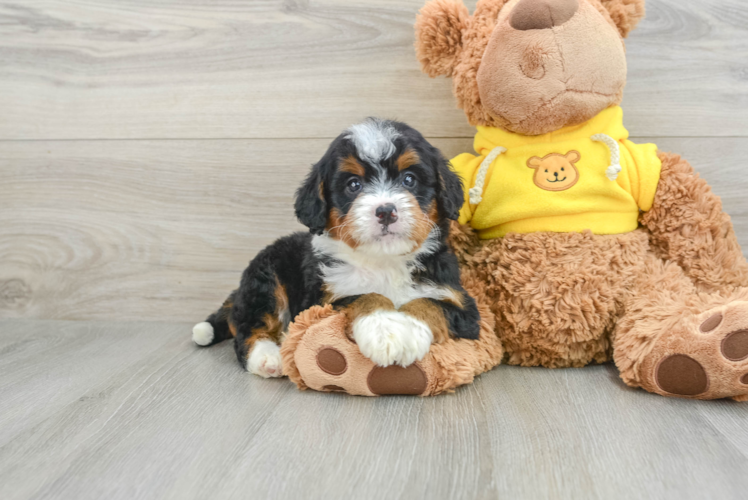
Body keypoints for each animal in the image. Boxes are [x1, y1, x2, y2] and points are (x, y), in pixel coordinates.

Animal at [193, 119, 482, 376]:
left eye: (409, 180)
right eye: (353, 185)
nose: (386, 211)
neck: (384, 261)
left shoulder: (463, 308)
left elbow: (429, 304)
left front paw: (404, 331)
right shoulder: (320, 302)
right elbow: (363, 296)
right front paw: (383, 328)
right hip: (265, 279)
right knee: (249, 328)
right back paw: (268, 357)